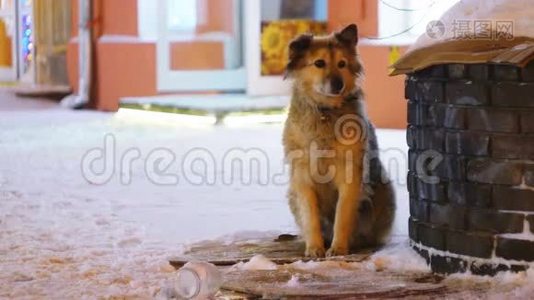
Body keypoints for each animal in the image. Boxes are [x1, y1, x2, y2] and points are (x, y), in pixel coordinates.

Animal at [284, 24, 398, 258]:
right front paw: (314, 247)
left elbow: (343, 215)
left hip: (384, 189)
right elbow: (310, 216)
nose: (338, 84)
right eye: (319, 63)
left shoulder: (350, 175)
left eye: (342, 64)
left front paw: (338, 247)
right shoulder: (302, 178)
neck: (326, 112)